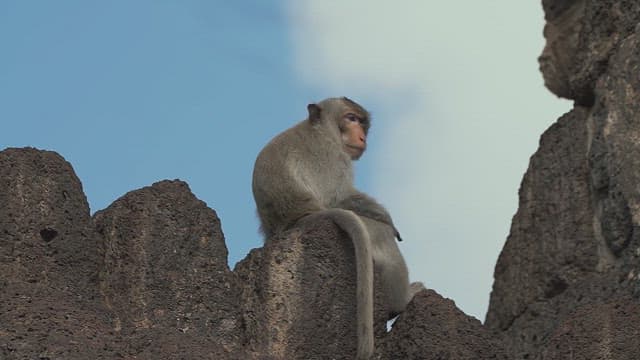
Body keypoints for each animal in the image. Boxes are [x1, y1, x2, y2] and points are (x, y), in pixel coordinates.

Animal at [251, 97, 424, 358]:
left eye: (362, 122)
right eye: (351, 118)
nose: (362, 136)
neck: (321, 128)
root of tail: (297, 219)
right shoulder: (331, 155)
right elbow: (340, 197)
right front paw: (388, 219)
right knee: (381, 237)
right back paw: (402, 301)